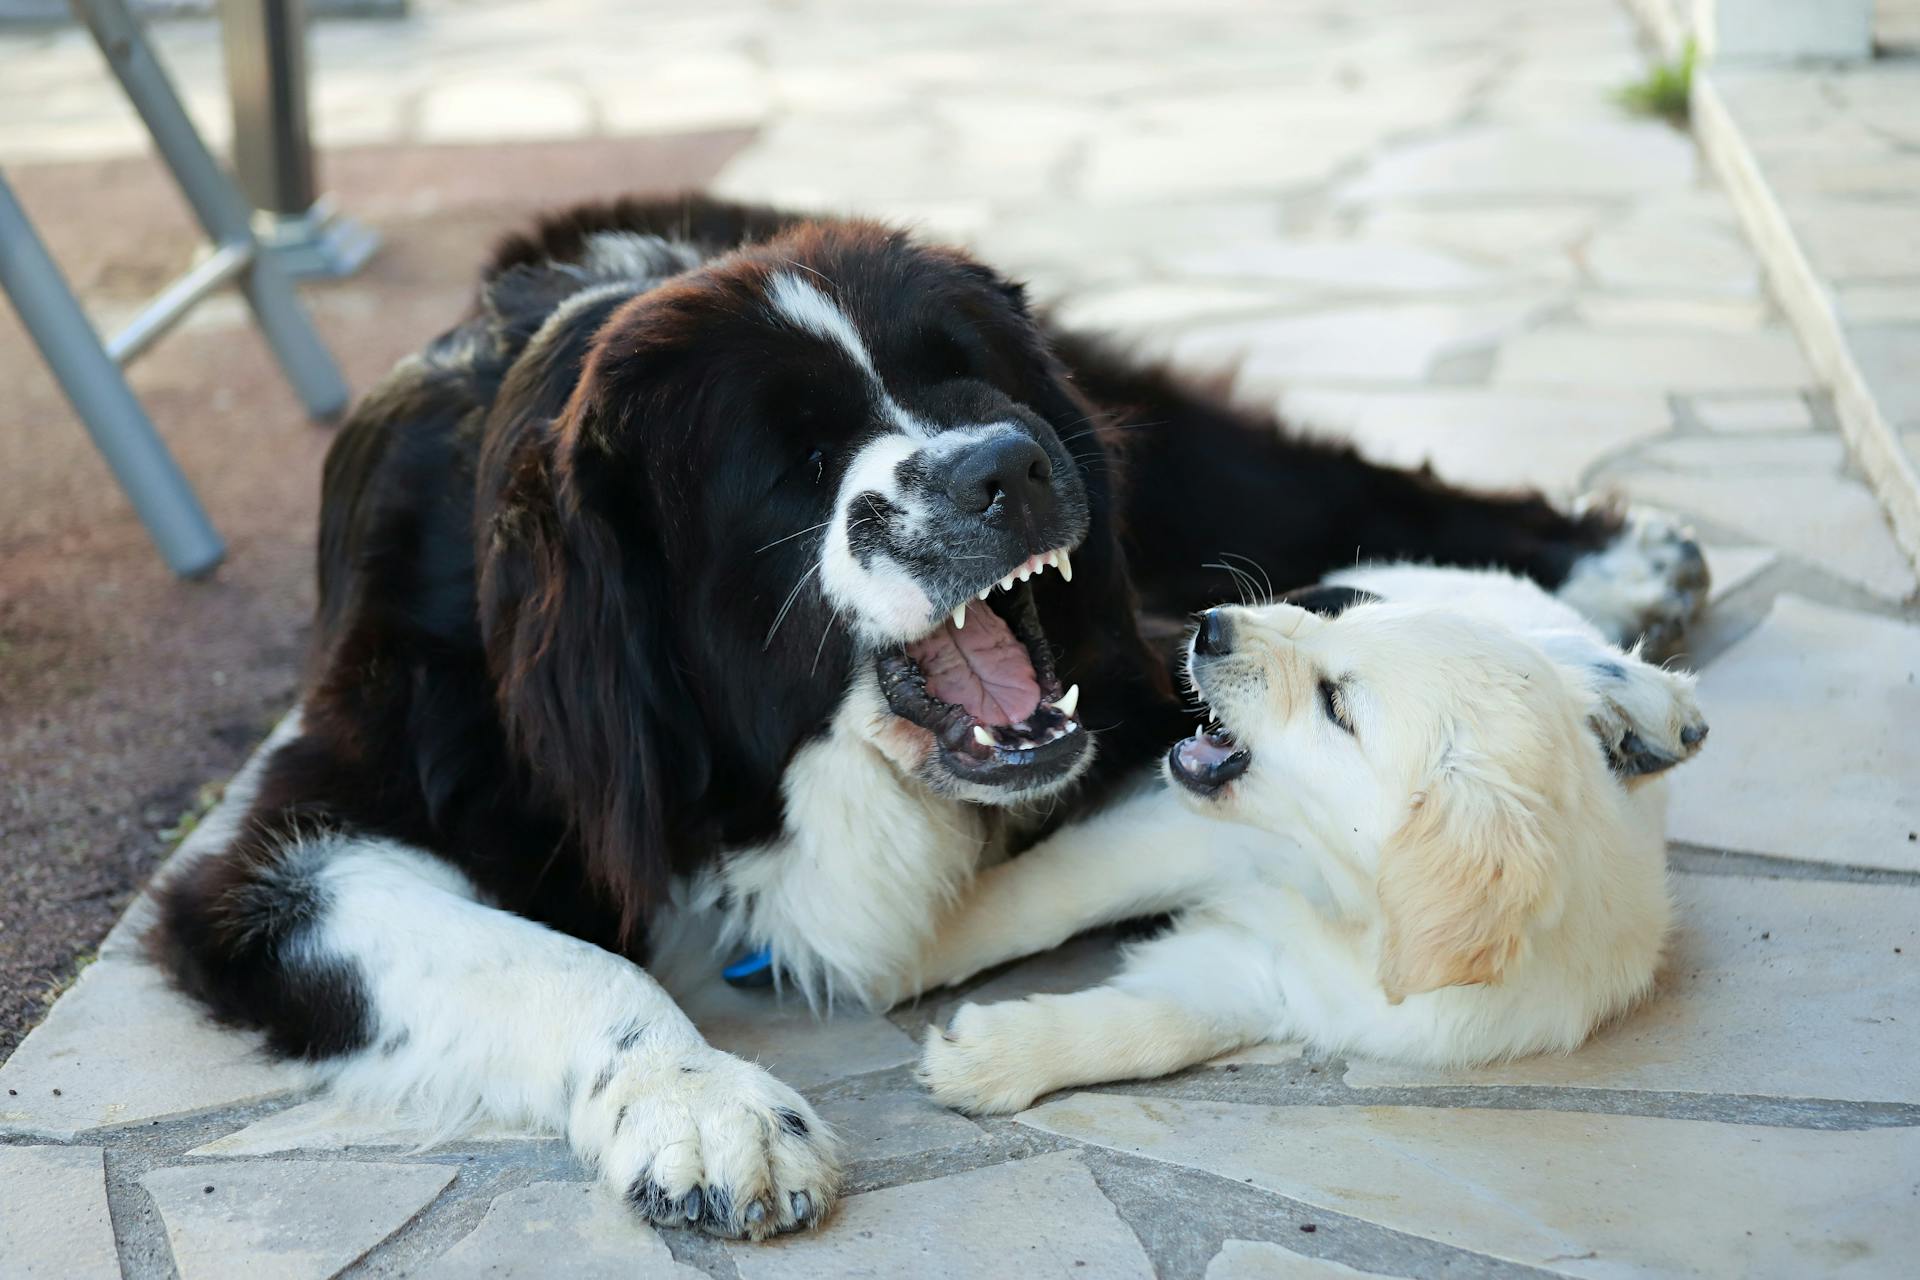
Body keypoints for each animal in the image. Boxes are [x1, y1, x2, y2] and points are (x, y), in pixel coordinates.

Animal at [913, 564, 1712, 1113]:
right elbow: (1046, 897)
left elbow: (1160, 1024)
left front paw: (992, 1055)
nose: (1212, 626)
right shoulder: (1186, 836)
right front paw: (914, 948)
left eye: (1338, 706)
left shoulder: (1290, 985)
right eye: (1344, 619)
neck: (1334, 886)